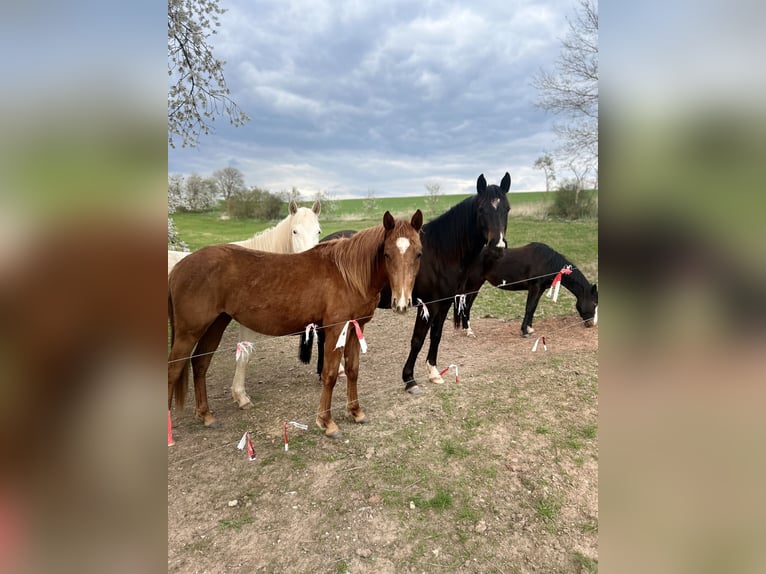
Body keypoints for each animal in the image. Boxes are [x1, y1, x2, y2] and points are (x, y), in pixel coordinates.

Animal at [301, 173, 511, 395]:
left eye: (507, 209)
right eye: (481, 210)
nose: (497, 247)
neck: (440, 253)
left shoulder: (444, 303)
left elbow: (436, 335)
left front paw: (434, 372)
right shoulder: (427, 305)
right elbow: (418, 339)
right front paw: (409, 379)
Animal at [454, 242, 598, 337]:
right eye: (594, 303)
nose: (591, 324)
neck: (547, 263)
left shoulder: (540, 290)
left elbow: (533, 308)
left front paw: (529, 329)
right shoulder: (534, 288)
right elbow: (529, 308)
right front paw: (524, 331)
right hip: (474, 285)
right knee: (467, 305)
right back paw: (469, 331)